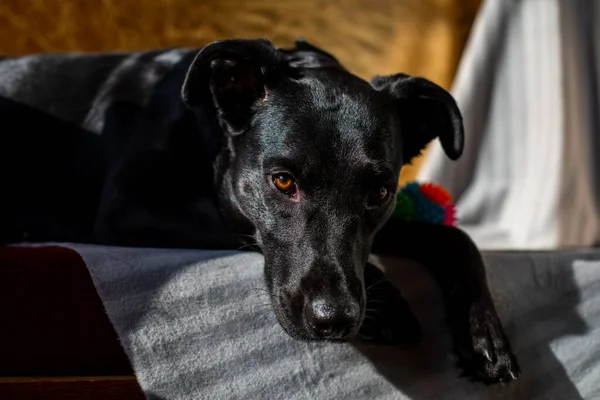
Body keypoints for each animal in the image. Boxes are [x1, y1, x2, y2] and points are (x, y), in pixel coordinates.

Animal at [0, 38, 516, 384]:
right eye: (282, 181)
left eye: (380, 192)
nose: (334, 320)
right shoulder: (132, 205)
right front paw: (389, 303)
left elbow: (455, 237)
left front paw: (484, 335)